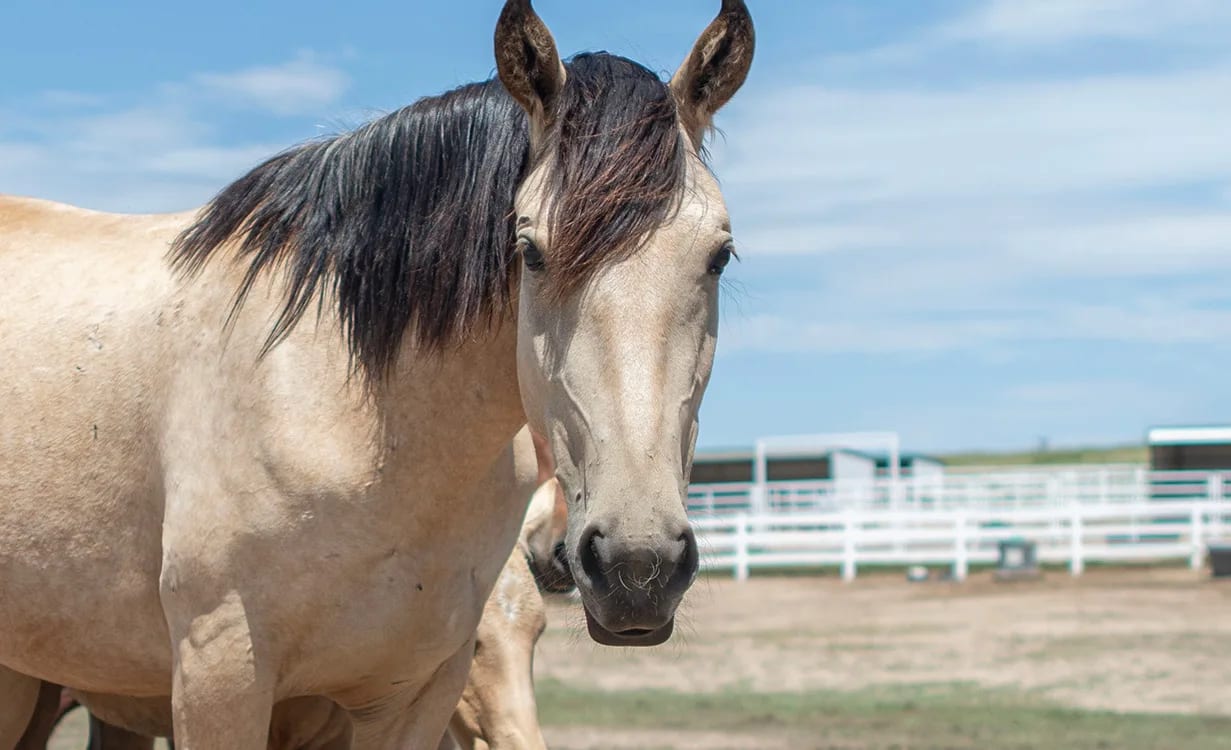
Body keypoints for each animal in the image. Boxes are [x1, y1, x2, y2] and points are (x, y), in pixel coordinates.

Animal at [0, 0, 754, 746]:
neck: (358, 421)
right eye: (529, 250)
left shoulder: (415, 692)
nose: (638, 565)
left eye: (718, 254)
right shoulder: (220, 677)